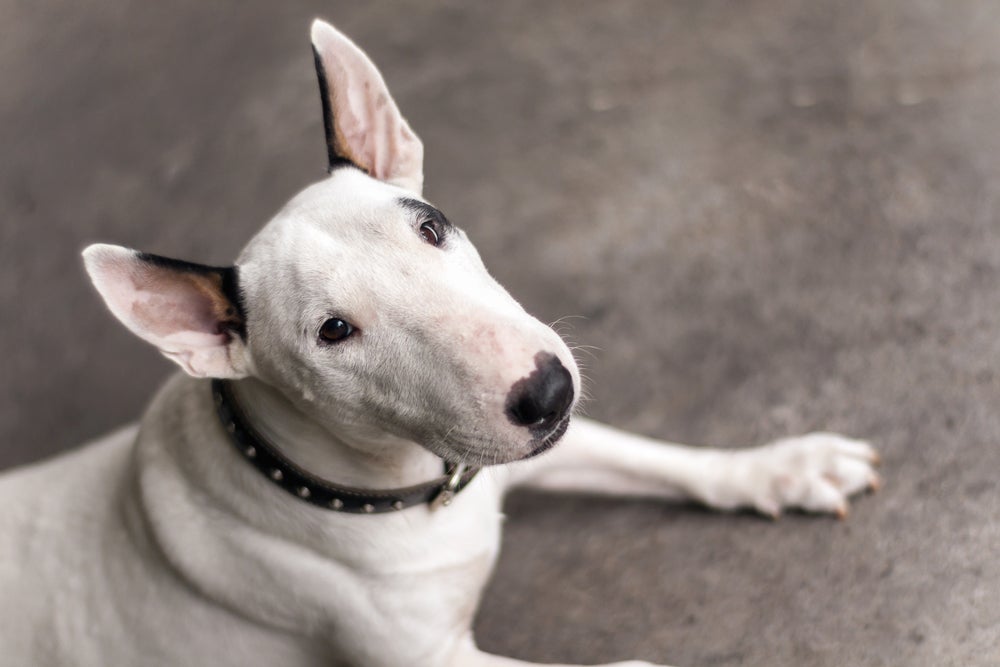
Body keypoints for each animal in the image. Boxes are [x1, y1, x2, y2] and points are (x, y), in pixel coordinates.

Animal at [0, 20, 876, 667]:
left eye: (430, 226)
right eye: (334, 331)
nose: (547, 391)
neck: (406, 487)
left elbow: (661, 458)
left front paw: (785, 467)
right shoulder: (432, 658)